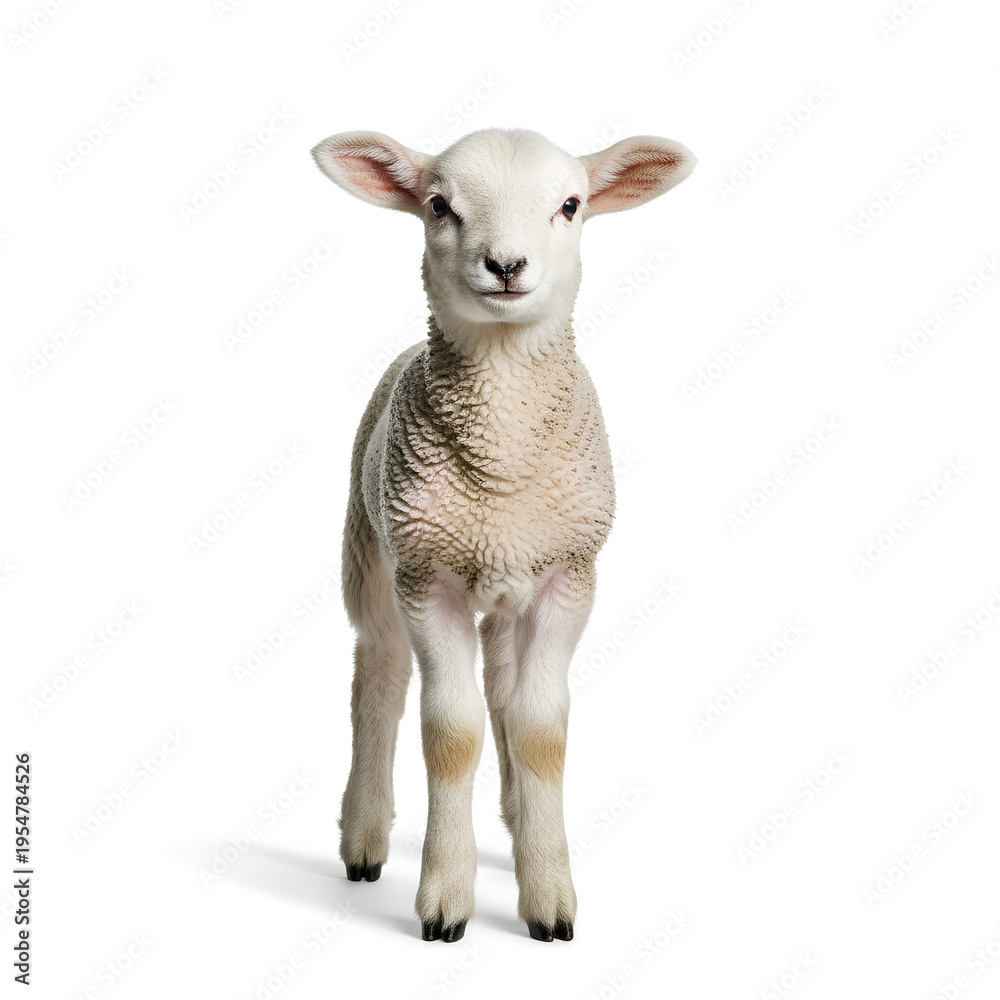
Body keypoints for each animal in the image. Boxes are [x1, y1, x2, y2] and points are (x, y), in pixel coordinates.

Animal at [311, 127, 695, 943]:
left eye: (571, 205)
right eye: (439, 205)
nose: (507, 265)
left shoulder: (567, 577)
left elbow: (539, 728)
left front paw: (547, 894)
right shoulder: (428, 577)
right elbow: (451, 734)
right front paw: (445, 900)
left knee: (503, 690)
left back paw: (518, 820)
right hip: (370, 550)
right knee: (377, 679)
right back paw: (364, 837)